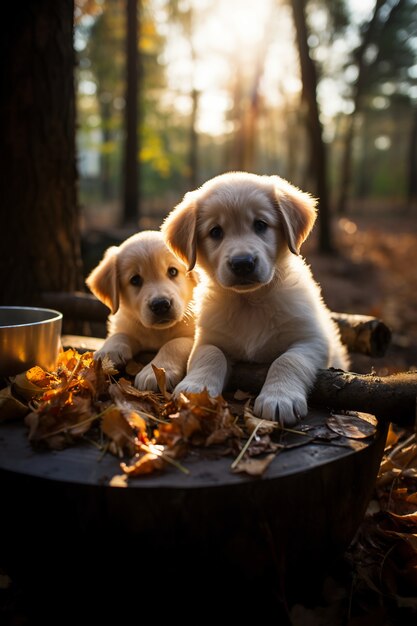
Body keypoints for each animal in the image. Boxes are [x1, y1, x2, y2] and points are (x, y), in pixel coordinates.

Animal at [84, 229, 197, 390]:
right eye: (135, 280)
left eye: (173, 272)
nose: (160, 304)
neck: (158, 332)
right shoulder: (127, 323)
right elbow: (119, 334)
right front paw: (109, 351)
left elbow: (175, 343)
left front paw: (154, 373)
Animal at [161, 171, 350, 424]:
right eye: (215, 232)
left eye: (260, 225)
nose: (242, 263)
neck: (250, 301)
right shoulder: (208, 338)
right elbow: (209, 355)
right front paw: (195, 390)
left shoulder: (312, 339)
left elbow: (288, 360)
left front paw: (279, 397)